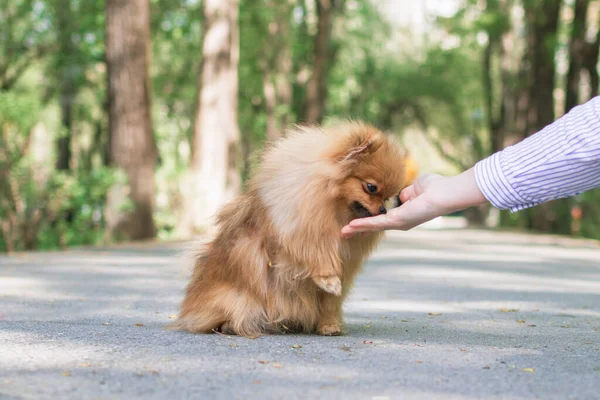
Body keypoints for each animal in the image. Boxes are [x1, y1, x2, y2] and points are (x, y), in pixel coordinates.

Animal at [171, 122, 406, 338]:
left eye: (388, 197)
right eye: (371, 188)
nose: (384, 210)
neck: (334, 209)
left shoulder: (345, 263)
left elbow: (330, 302)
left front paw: (329, 326)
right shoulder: (298, 232)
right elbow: (314, 252)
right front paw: (327, 278)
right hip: (235, 297)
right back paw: (230, 325)